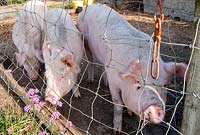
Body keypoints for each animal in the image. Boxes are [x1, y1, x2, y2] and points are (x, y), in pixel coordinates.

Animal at [77, 4, 187, 133]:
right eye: (138, 84)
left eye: (165, 85)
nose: (155, 108)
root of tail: (90, 6)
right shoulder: (114, 82)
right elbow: (118, 104)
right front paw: (117, 131)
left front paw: (130, 114)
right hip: (84, 39)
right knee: (90, 60)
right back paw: (90, 80)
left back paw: (104, 83)